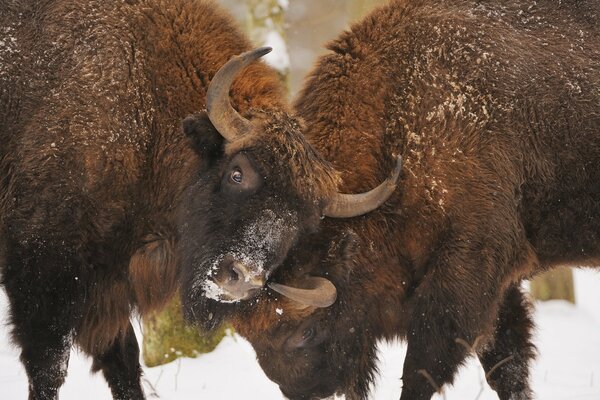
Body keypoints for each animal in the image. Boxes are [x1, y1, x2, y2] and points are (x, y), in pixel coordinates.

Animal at [0, 1, 288, 398]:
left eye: (306, 211)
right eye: (237, 172)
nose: (243, 279)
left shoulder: (107, 289)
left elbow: (123, 361)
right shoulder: (42, 275)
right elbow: (49, 366)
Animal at [180, 0, 600, 400]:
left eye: (307, 330)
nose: (306, 391)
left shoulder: (466, 271)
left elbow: (423, 370)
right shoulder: (500, 287)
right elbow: (507, 366)